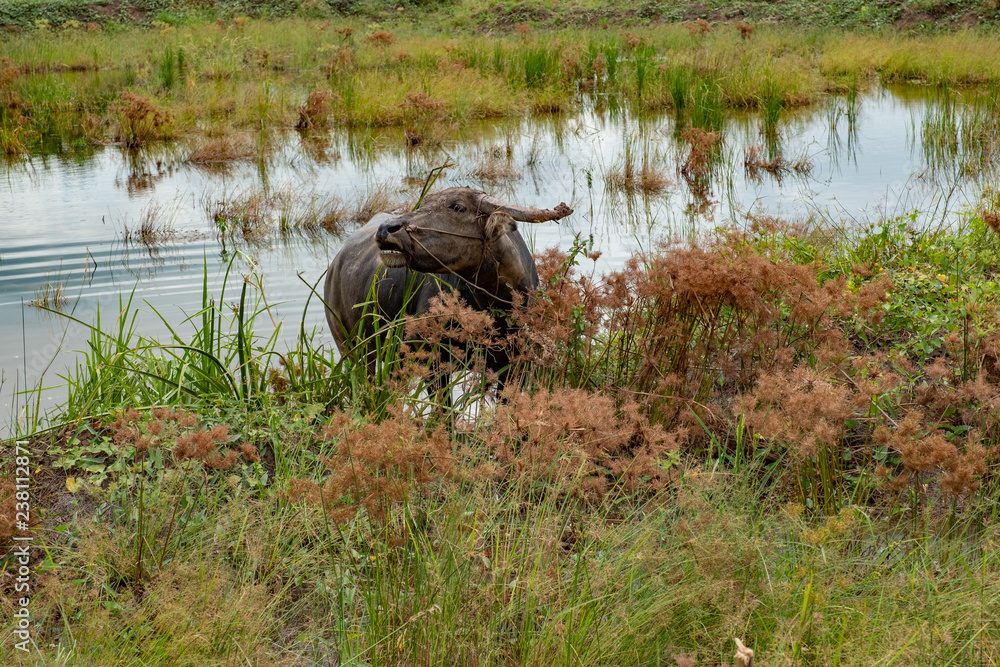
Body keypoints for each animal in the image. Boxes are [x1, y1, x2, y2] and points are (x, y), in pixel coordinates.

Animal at [323, 186, 573, 375]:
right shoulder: (432, 364)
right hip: (352, 350)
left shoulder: (513, 367)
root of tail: (334, 268)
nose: (387, 229)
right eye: (423, 204)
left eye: (458, 207)